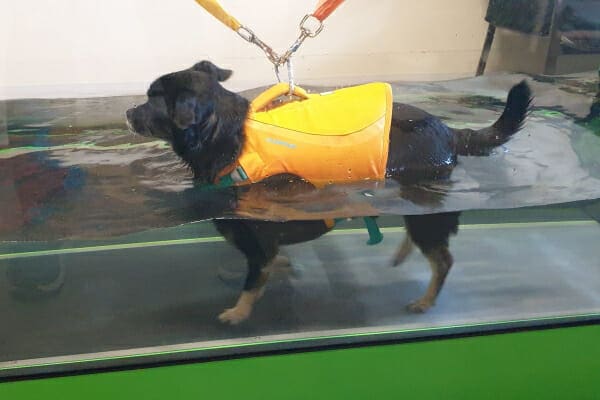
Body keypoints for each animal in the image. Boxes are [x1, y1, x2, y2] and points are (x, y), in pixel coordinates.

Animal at [125, 60, 528, 324]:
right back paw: (403, 255)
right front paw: (282, 268)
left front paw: (238, 311)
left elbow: (254, 279)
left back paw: (425, 301)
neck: (225, 134)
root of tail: (451, 132)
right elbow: (271, 263)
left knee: (442, 259)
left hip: (425, 208)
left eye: (151, 100)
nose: (128, 112)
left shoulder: (257, 236)